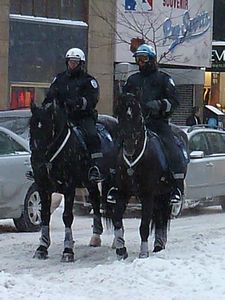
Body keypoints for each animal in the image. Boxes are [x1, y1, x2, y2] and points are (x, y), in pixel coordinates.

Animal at [29, 101, 118, 262]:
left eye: (47, 127)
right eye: (31, 126)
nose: (37, 161)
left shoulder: (69, 187)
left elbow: (67, 217)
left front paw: (68, 251)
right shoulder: (43, 188)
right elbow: (44, 215)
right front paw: (42, 248)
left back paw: (116, 241)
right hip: (90, 183)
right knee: (95, 201)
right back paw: (96, 237)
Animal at [110, 94, 187, 260]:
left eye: (139, 116)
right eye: (119, 114)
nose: (129, 146)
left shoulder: (148, 194)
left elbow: (144, 225)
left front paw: (143, 253)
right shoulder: (123, 193)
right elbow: (117, 220)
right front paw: (121, 249)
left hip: (164, 194)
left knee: (161, 219)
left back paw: (158, 245)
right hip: (159, 196)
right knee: (159, 218)